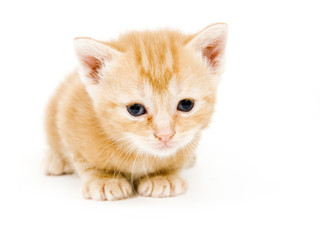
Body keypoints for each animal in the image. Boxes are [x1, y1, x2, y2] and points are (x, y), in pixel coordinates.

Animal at [44, 23, 228, 201]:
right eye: (135, 109)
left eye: (186, 104)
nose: (165, 135)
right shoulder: (69, 110)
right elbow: (82, 159)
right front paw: (104, 179)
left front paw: (162, 176)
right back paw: (56, 159)